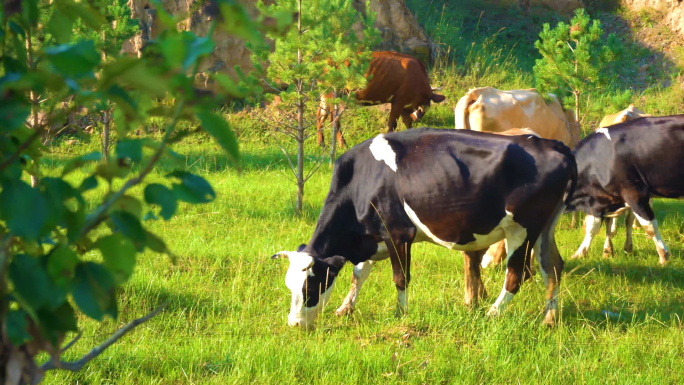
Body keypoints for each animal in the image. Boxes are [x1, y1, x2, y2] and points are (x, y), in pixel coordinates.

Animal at [272, 127, 576, 328]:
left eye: (310, 287)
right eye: (288, 286)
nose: (294, 324)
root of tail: (554, 145)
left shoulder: (396, 233)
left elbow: (400, 278)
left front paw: (400, 313)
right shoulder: (374, 236)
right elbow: (358, 274)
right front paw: (345, 308)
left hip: (521, 229)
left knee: (517, 275)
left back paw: (492, 314)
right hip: (546, 227)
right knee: (553, 266)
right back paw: (549, 319)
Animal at [314, 51, 444, 146]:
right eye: (422, 108)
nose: (417, 118)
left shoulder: (405, 105)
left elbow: (407, 123)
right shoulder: (399, 101)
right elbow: (392, 124)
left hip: (325, 96)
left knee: (320, 116)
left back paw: (321, 144)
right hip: (335, 96)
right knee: (334, 119)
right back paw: (343, 144)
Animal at [568, 115, 684, 264]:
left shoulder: (634, 193)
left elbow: (649, 226)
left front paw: (664, 256)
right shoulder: (605, 198)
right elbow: (596, 226)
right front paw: (586, 253)